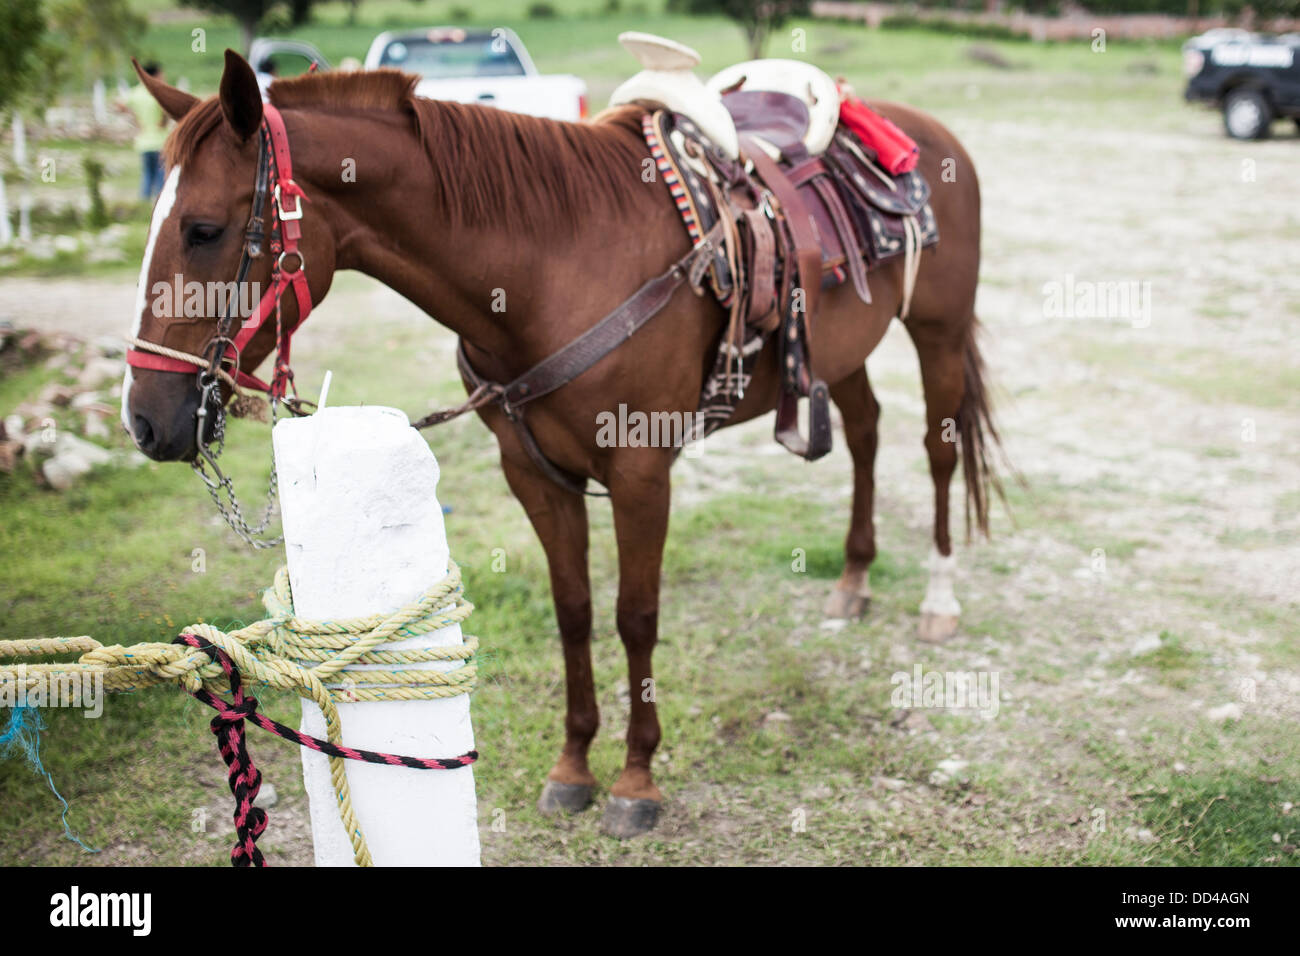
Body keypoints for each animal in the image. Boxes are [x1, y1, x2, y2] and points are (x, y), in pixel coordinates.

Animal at [122, 50, 998, 837]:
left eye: (203, 230)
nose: (145, 420)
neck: (555, 263)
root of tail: (925, 131)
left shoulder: (642, 474)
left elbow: (635, 616)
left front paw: (637, 781)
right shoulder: (534, 475)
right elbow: (573, 610)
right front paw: (574, 767)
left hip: (938, 329)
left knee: (938, 451)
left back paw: (941, 601)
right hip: (840, 349)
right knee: (866, 432)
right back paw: (853, 580)